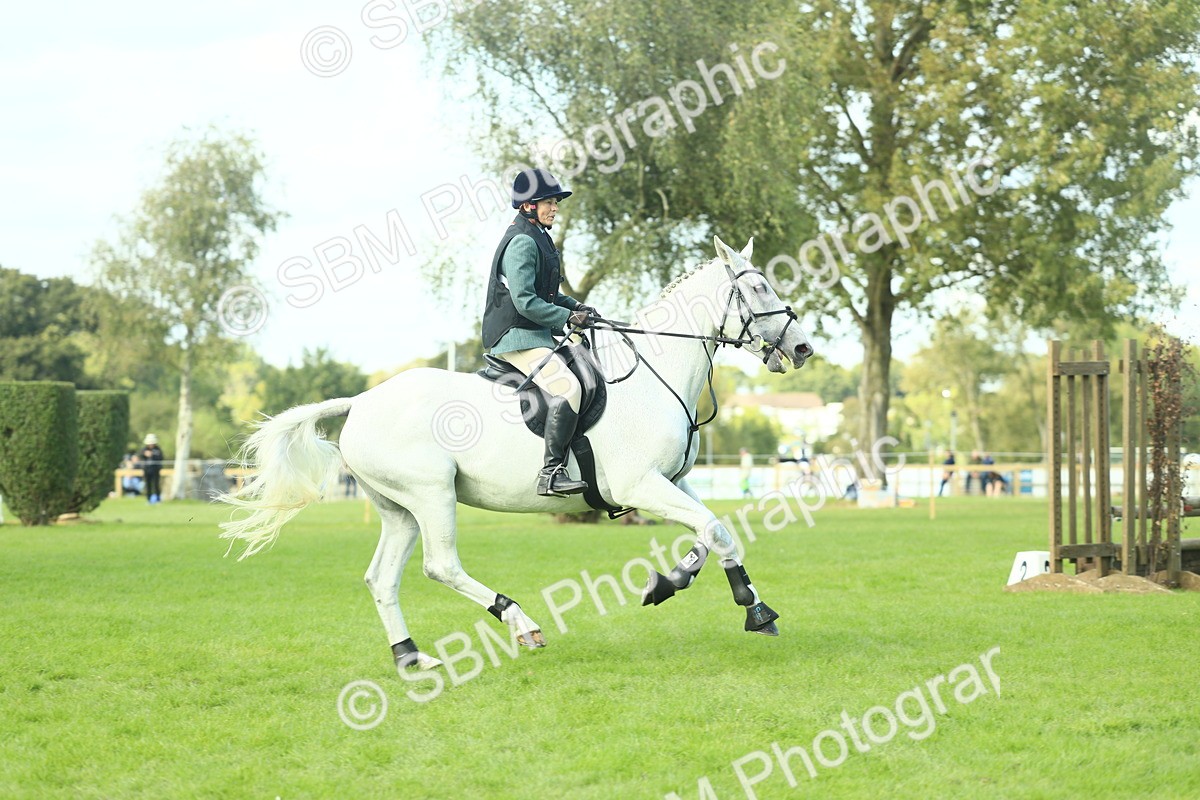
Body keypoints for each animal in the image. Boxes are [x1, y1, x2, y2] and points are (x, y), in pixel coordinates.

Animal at [218, 236, 813, 671]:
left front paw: (682, 585)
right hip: (431, 496)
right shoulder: (641, 484)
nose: (803, 347)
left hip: (400, 510)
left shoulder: (673, 481)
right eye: (760, 288)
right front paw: (749, 608)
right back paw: (521, 623)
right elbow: (713, 530)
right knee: (441, 565)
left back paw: (411, 658)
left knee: (382, 579)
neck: (654, 372)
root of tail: (362, 401)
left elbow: (715, 532)